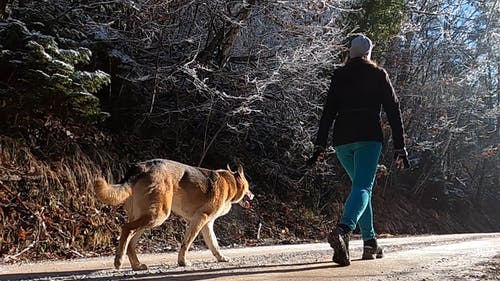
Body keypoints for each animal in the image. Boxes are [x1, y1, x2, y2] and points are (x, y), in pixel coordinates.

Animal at [94, 158, 254, 270]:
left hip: (147, 219)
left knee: (131, 242)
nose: (252, 195)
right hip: (158, 216)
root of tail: (142, 167)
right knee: (126, 228)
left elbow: (214, 245)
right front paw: (182, 262)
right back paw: (119, 261)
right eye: (248, 186)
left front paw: (221, 258)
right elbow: (186, 243)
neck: (230, 182)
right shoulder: (200, 219)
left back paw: (137, 266)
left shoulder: (207, 224)